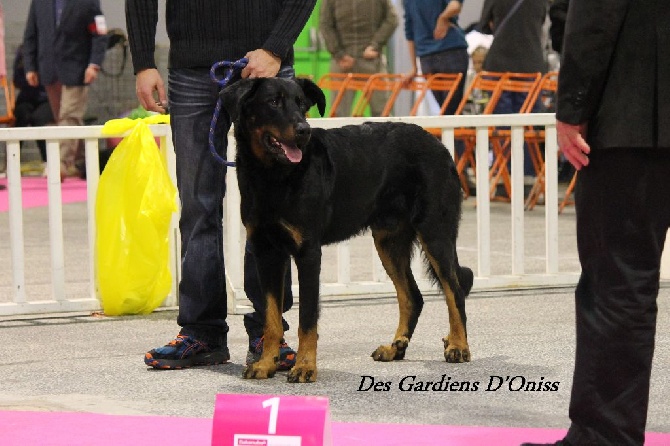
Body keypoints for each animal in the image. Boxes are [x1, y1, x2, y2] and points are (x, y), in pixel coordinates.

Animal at [223, 76, 476, 384]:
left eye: (302, 104)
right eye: (273, 102)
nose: (304, 131)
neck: (273, 176)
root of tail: (439, 146)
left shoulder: (308, 252)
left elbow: (307, 319)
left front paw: (305, 367)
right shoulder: (266, 251)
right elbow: (271, 318)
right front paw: (265, 364)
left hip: (435, 232)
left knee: (455, 290)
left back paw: (458, 346)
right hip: (388, 241)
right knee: (412, 296)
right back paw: (395, 348)